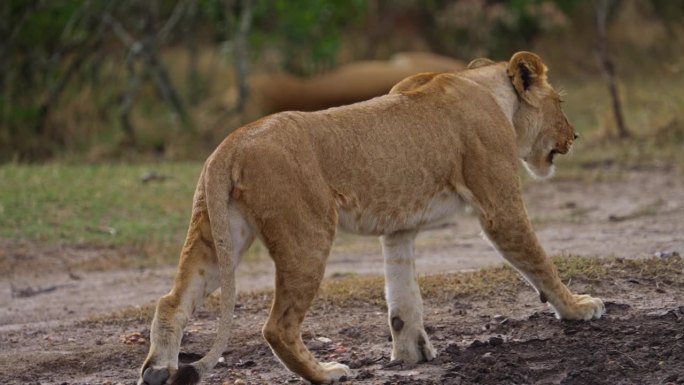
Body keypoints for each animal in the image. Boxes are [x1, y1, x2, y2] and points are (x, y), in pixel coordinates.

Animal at [138, 51, 604, 384]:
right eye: (560, 103)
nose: (575, 135)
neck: (485, 88)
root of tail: (231, 144)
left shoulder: (398, 229)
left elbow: (402, 295)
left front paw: (412, 354)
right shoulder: (499, 206)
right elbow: (538, 260)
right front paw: (579, 307)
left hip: (219, 235)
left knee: (171, 302)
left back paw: (158, 372)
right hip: (307, 235)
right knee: (277, 327)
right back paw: (327, 374)